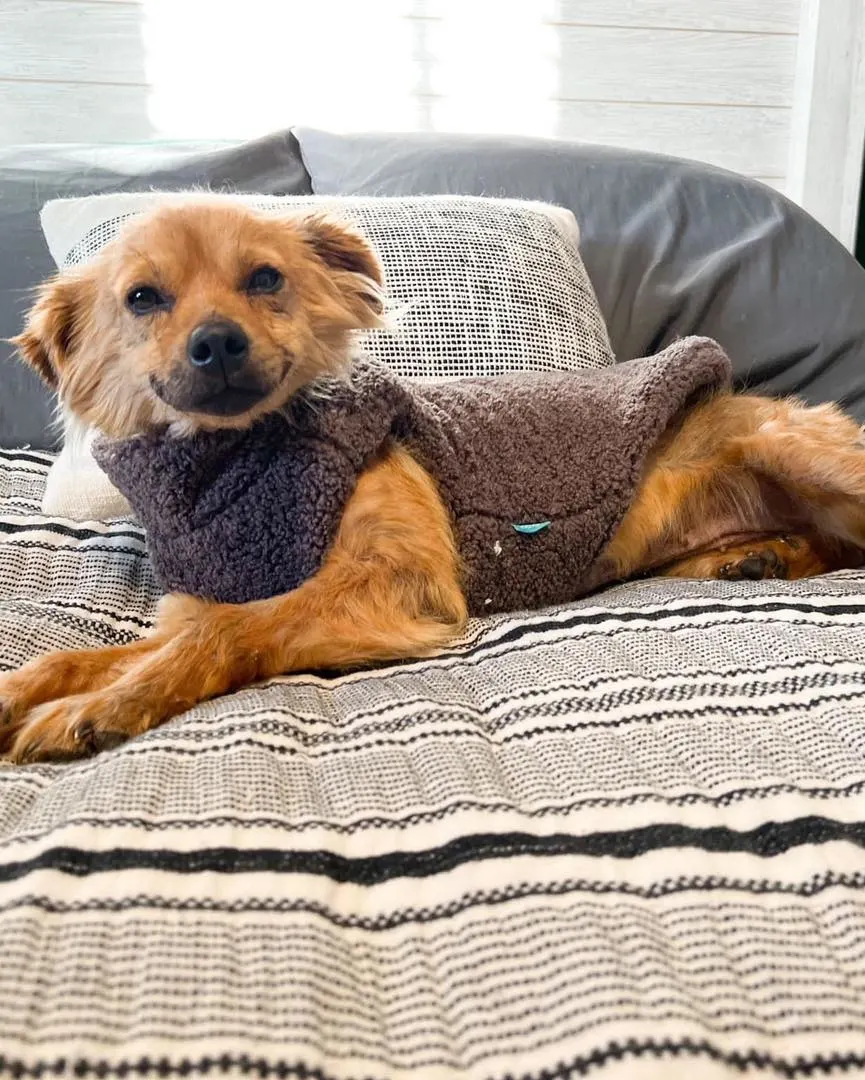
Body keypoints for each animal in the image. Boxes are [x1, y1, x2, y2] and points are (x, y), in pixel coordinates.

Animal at [1, 203, 863, 760]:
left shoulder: (398, 584)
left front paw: (105, 706)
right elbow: (92, 653)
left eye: (266, 279)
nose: (216, 343)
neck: (237, 463)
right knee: (827, 544)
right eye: (142, 298)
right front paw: (35, 688)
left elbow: (225, 631)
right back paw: (756, 559)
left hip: (801, 454)